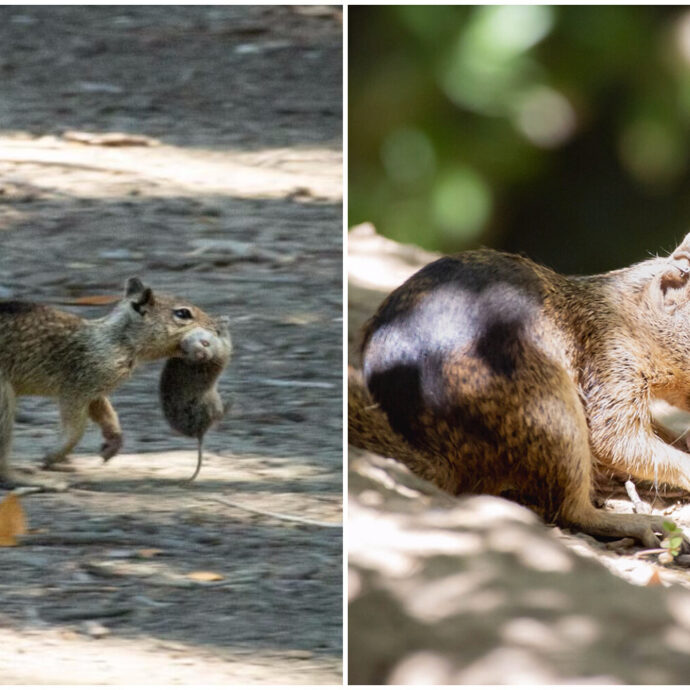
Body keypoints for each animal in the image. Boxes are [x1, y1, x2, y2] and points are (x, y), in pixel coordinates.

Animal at [0, 276, 218, 490]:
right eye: (183, 313)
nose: (216, 327)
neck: (117, 340)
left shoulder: (94, 390)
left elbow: (105, 412)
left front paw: (113, 442)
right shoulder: (76, 387)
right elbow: (76, 429)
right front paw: (55, 455)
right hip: (4, 399)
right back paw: (31, 479)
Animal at [159, 316, 231, 482]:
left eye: (205, 343)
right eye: (186, 351)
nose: (201, 354)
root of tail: (199, 433)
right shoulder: (223, 351)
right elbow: (227, 341)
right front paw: (222, 322)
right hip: (212, 401)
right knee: (219, 415)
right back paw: (231, 401)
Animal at [346, 234, 690, 544]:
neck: (626, 315)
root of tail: (440, 456)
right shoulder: (610, 361)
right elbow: (616, 441)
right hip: (551, 413)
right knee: (569, 510)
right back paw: (635, 523)